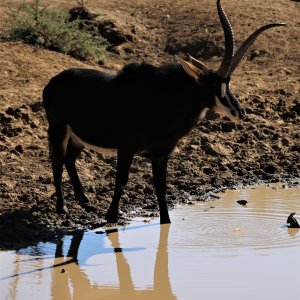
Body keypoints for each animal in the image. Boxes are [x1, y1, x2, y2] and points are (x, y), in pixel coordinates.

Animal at [41, 0, 284, 224]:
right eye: (216, 86)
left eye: (228, 84)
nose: (240, 113)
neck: (163, 104)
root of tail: (53, 82)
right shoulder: (126, 149)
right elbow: (122, 180)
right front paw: (111, 216)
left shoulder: (161, 155)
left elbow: (161, 188)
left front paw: (165, 222)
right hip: (59, 128)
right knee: (58, 161)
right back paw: (63, 208)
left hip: (78, 137)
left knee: (70, 159)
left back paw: (84, 200)